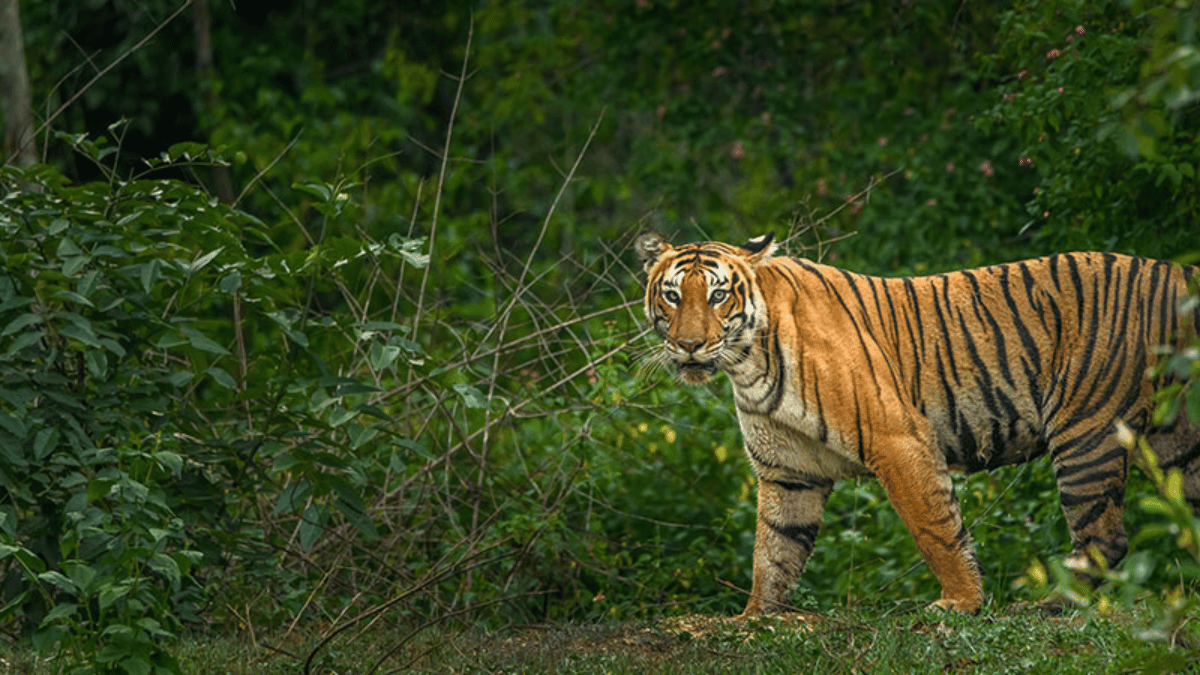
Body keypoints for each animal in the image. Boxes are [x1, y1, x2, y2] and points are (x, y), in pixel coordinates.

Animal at [635, 231, 1200, 615]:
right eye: (672, 295)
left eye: (717, 295)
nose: (688, 345)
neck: (746, 364)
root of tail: (1176, 272)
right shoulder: (787, 471)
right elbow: (773, 551)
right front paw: (756, 617)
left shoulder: (898, 438)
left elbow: (935, 529)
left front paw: (962, 603)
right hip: (1180, 438)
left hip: (1084, 428)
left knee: (1104, 538)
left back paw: (1048, 608)